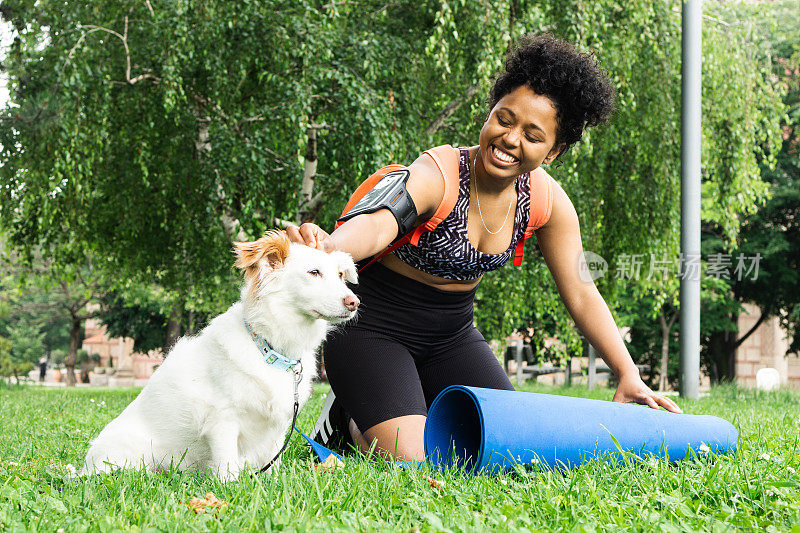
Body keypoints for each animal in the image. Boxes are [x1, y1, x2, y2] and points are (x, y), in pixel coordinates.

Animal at [80, 231, 356, 480]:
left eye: (340, 275)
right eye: (314, 272)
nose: (354, 302)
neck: (270, 350)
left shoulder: (278, 428)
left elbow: (272, 463)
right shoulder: (222, 422)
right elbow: (227, 467)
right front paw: (230, 489)